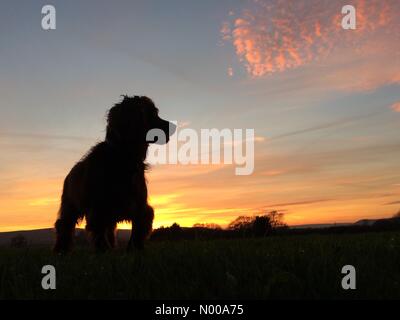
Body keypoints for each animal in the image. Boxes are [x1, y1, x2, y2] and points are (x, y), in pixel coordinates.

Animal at [54, 95, 176, 252]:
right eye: (151, 113)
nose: (174, 126)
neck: (122, 157)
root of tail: (69, 175)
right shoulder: (99, 206)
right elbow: (99, 232)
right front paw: (103, 250)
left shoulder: (139, 205)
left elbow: (137, 232)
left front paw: (136, 250)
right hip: (70, 207)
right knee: (64, 226)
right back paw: (61, 250)